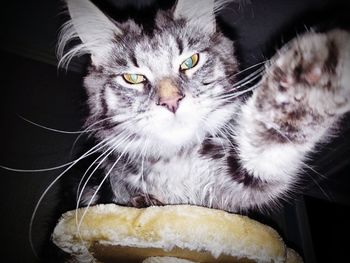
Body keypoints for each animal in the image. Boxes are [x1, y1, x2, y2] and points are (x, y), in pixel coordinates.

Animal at [56, 0, 348, 217]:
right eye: (133, 78)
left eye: (190, 62)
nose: (171, 101)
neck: (177, 159)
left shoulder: (233, 186)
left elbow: (267, 144)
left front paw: (309, 80)